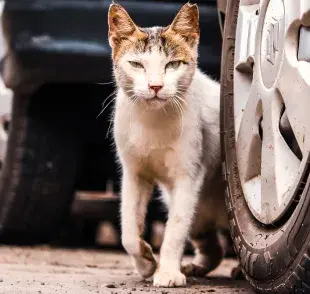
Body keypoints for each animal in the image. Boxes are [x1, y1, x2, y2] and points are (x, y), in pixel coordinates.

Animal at [108, 1, 228, 288]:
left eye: (173, 64)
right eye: (136, 64)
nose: (155, 86)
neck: (153, 121)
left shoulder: (189, 176)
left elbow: (175, 229)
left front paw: (168, 272)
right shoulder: (134, 173)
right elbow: (128, 229)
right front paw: (145, 261)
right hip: (201, 213)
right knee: (215, 248)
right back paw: (196, 266)